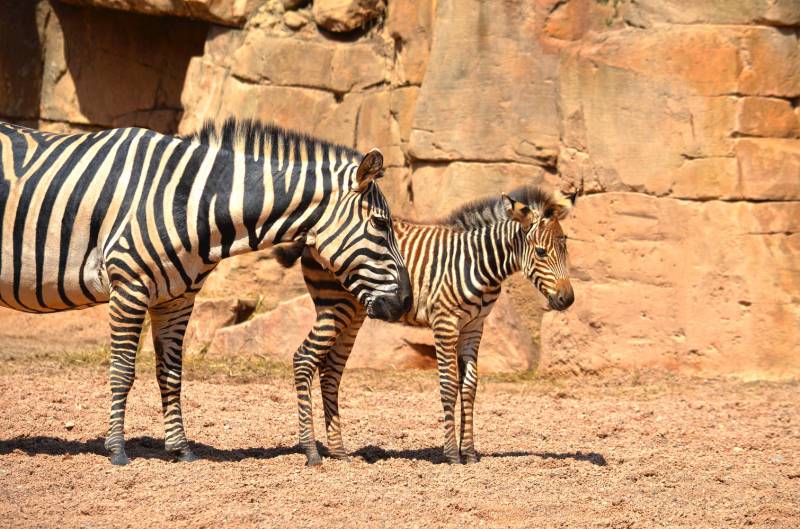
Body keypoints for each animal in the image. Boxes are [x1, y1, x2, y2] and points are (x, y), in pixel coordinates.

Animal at [0, 118, 412, 462]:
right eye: (380, 225)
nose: (406, 301)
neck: (192, 202)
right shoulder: (128, 285)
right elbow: (122, 370)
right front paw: (116, 449)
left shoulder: (176, 298)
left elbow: (171, 373)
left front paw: (180, 449)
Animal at [278, 185, 580, 462]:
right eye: (541, 252)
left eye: (565, 248)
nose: (567, 299)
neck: (477, 262)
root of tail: (314, 235)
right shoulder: (445, 323)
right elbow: (448, 385)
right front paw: (452, 454)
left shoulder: (474, 327)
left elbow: (469, 386)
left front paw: (469, 452)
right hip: (336, 304)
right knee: (304, 358)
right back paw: (312, 452)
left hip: (355, 312)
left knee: (330, 371)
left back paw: (339, 452)